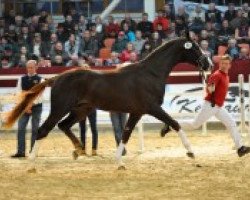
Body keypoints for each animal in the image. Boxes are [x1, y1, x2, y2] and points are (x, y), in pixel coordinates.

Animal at [2, 34, 213, 167]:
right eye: (195, 47)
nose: (209, 64)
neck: (151, 73)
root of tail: (57, 77)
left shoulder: (137, 112)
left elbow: (126, 134)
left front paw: (119, 162)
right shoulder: (152, 108)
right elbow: (175, 123)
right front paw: (191, 152)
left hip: (82, 110)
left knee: (64, 126)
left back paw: (79, 150)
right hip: (60, 108)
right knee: (43, 130)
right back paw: (32, 162)